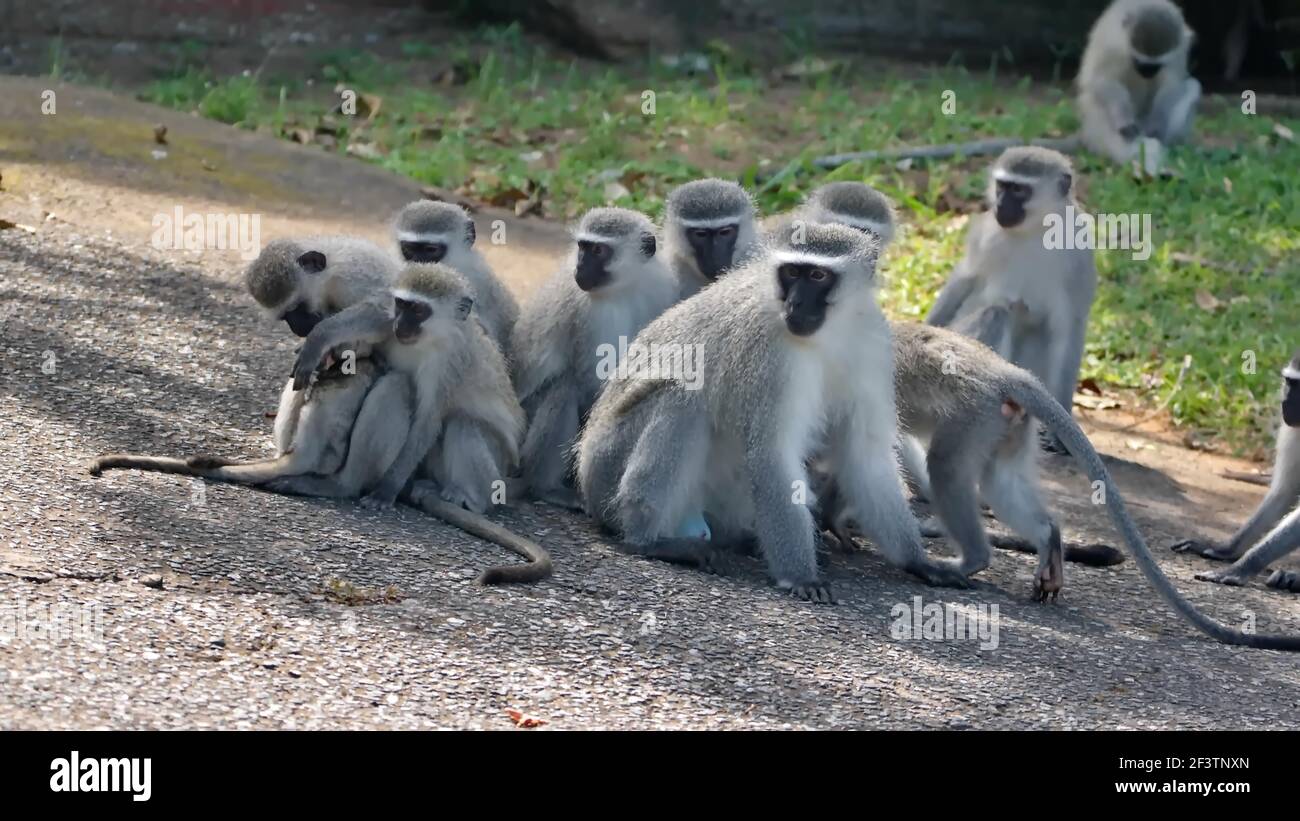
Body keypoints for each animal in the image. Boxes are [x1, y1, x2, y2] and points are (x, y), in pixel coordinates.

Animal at [509, 207, 679, 508]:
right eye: (582, 247)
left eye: (598, 250)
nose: (580, 268)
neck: (625, 288)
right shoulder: (590, 314)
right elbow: (589, 380)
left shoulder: (660, 292)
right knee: (565, 388)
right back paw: (544, 486)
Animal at [577, 223, 975, 604]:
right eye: (791, 273)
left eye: (817, 276)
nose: (796, 304)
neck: (829, 332)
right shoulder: (770, 353)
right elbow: (772, 453)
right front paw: (800, 577)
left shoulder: (872, 339)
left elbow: (866, 455)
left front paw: (918, 561)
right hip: (606, 465)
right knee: (682, 400)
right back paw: (647, 538)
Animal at [926, 147, 1096, 454]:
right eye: (1001, 186)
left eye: (1018, 190)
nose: (1001, 206)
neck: (1035, 231)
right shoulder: (985, 236)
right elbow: (965, 278)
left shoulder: (1078, 251)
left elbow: (1069, 328)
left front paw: (1060, 430)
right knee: (995, 314)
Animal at [1076, 0, 1201, 163]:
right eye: (1139, 61)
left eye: (1156, 65)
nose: (1147, 73)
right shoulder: (1110, 42)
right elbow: (1101, 79)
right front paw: (1124, 119)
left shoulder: (1180, 48)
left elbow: (1172, 84)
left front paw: (1157, 124)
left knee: (1192, 85)